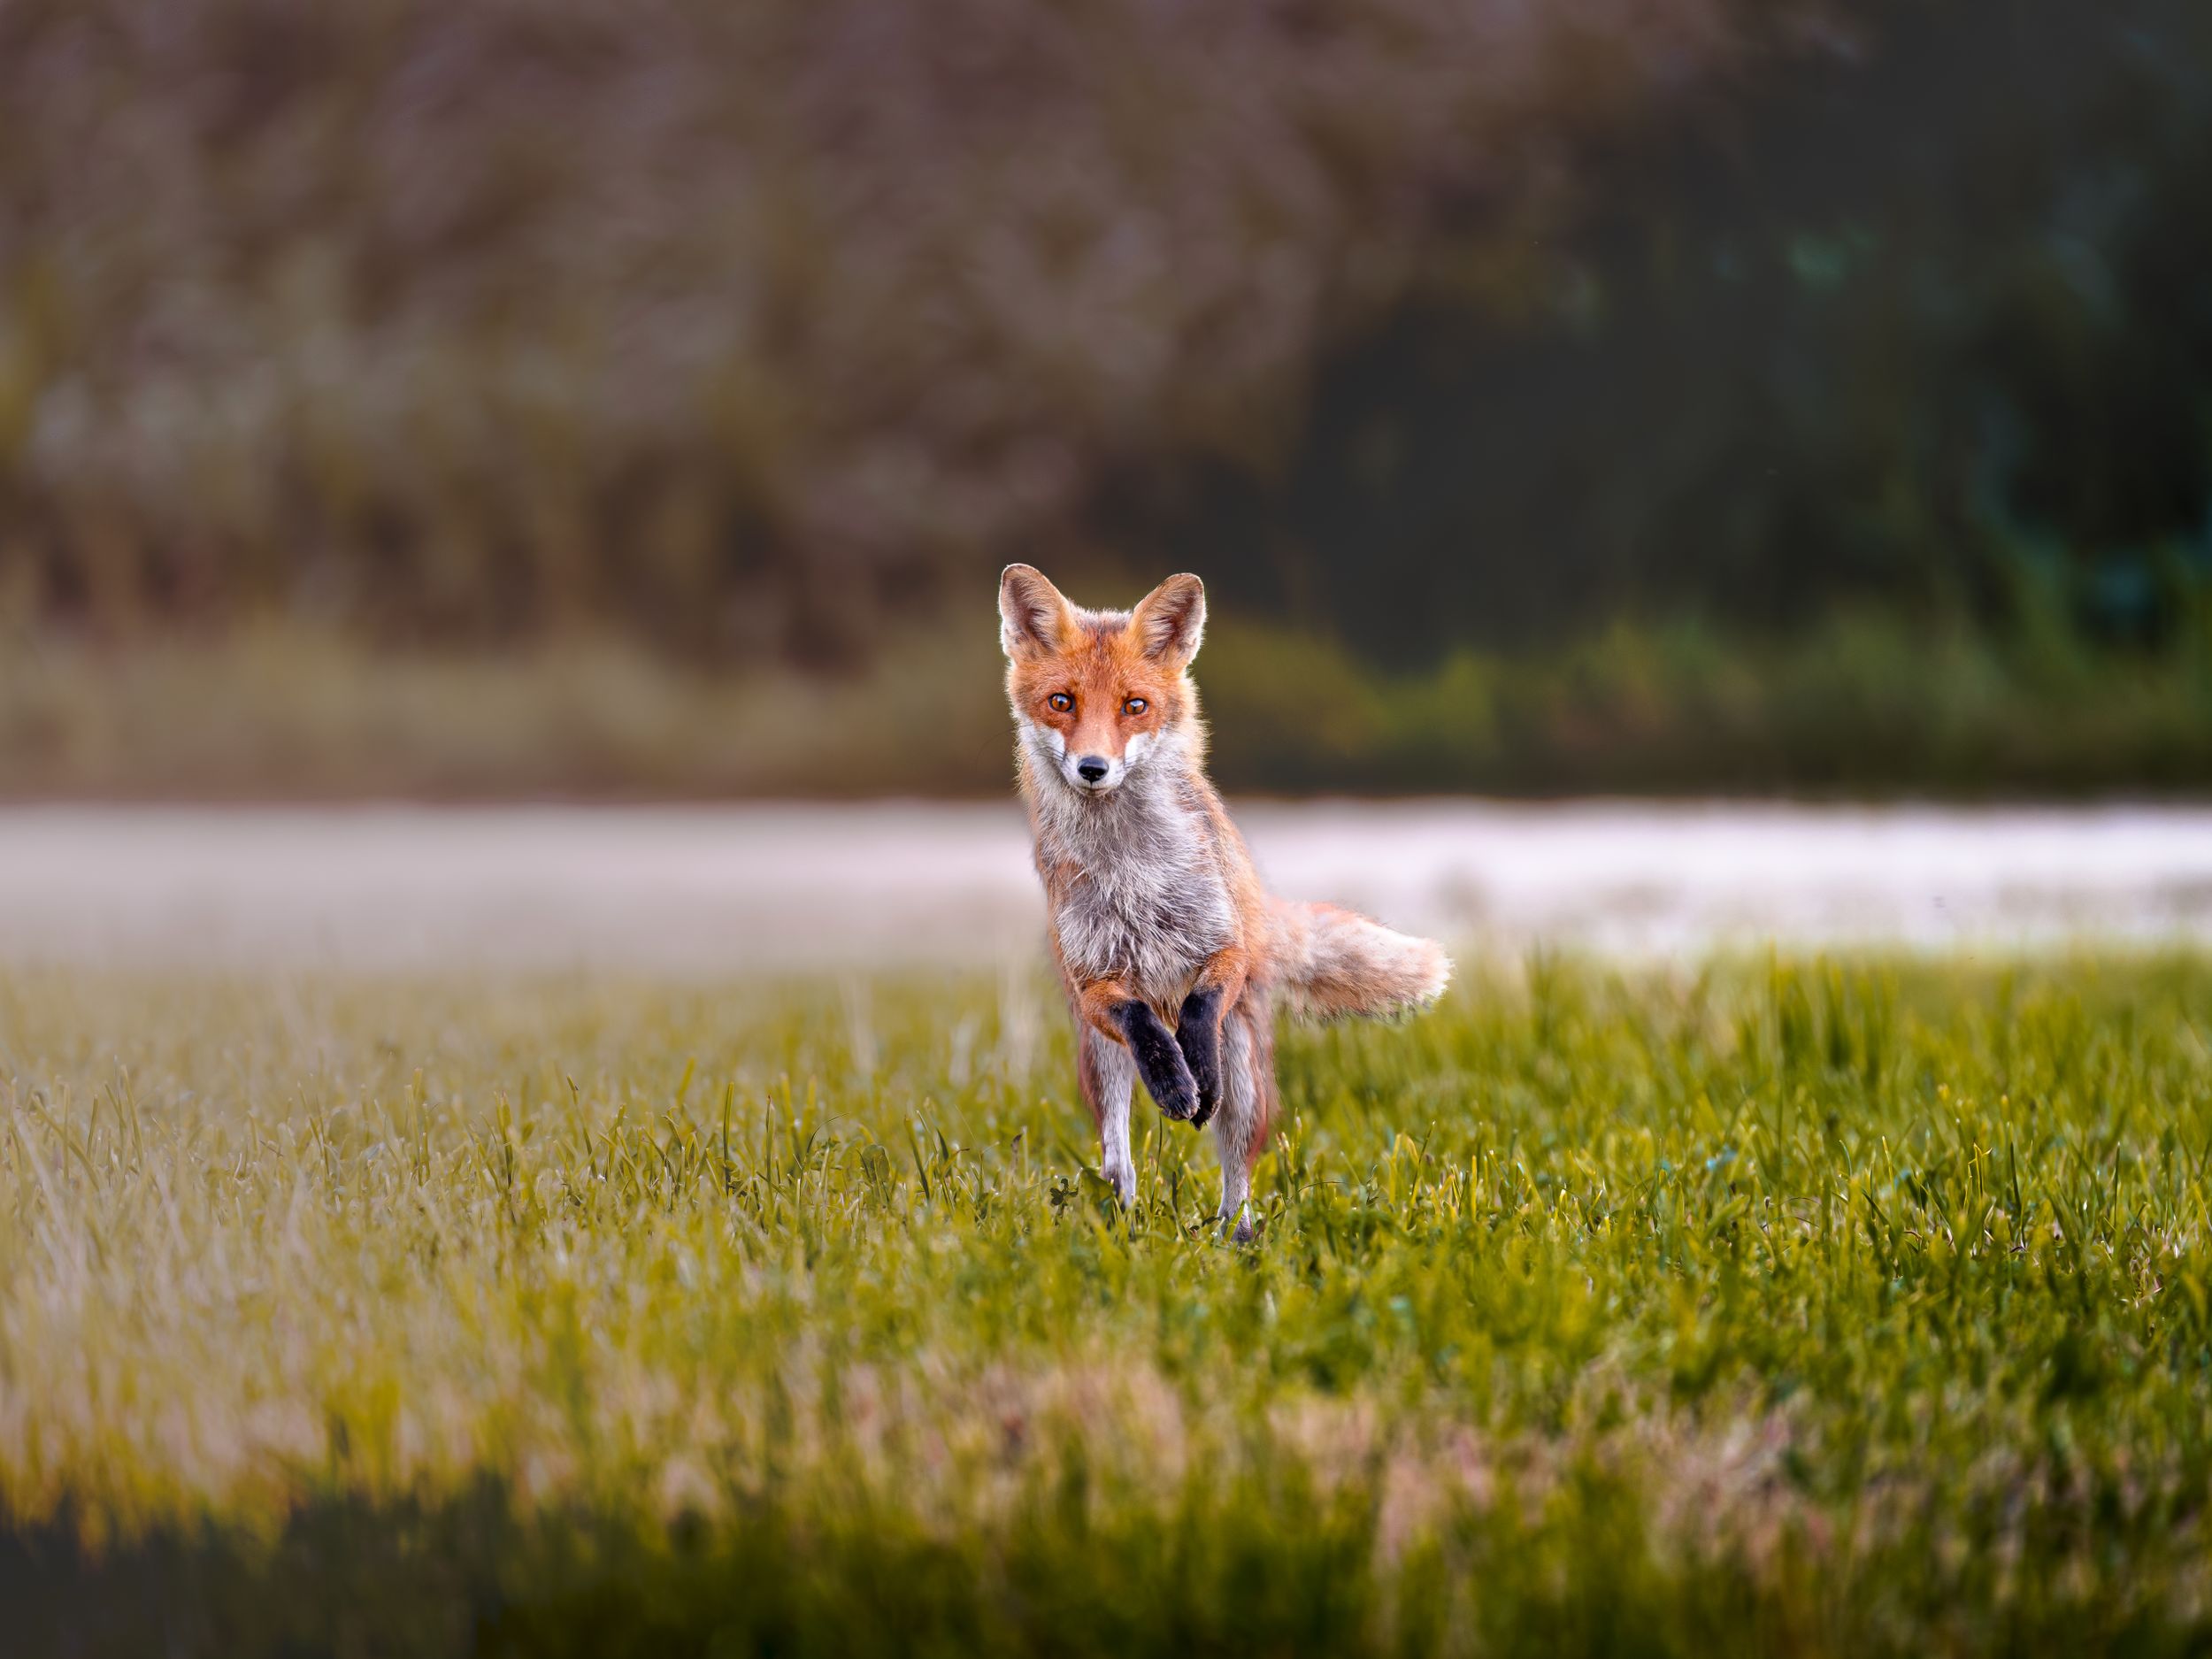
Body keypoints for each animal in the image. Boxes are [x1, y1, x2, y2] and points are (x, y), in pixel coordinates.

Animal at [999, 564, 1451, 1241]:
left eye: (1135, 706)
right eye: (1062, 702)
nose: (1093, 767)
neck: (1134, 870)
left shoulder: (1225, 946)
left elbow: (1200, 1008)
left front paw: (1196, 1072)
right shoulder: (1096, 981)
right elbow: (1143, 1024)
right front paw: (1171, 1078)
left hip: (1247, 1074)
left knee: (1238, 1165)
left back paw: (1233, 1237)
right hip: (1100, 1065)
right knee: (1117, 1158)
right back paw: (1128, 1220)